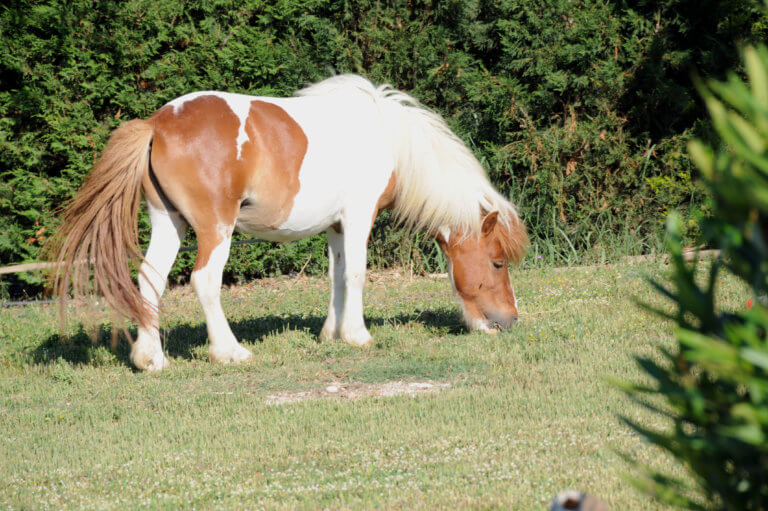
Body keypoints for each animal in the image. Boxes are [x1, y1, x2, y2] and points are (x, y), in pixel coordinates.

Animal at [49, 75, 528, 372]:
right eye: (498, 263)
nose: (510, 321)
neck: (387, 139)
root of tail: (157, 123)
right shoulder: (359, 217)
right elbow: (357, 274)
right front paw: (357, 335)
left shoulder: (337, 227)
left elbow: (336, 276)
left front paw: (331, 333)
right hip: (214, 229)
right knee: (204, 280)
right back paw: (229, 351)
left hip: (170, 223)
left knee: (149, 281)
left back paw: (151, 359)